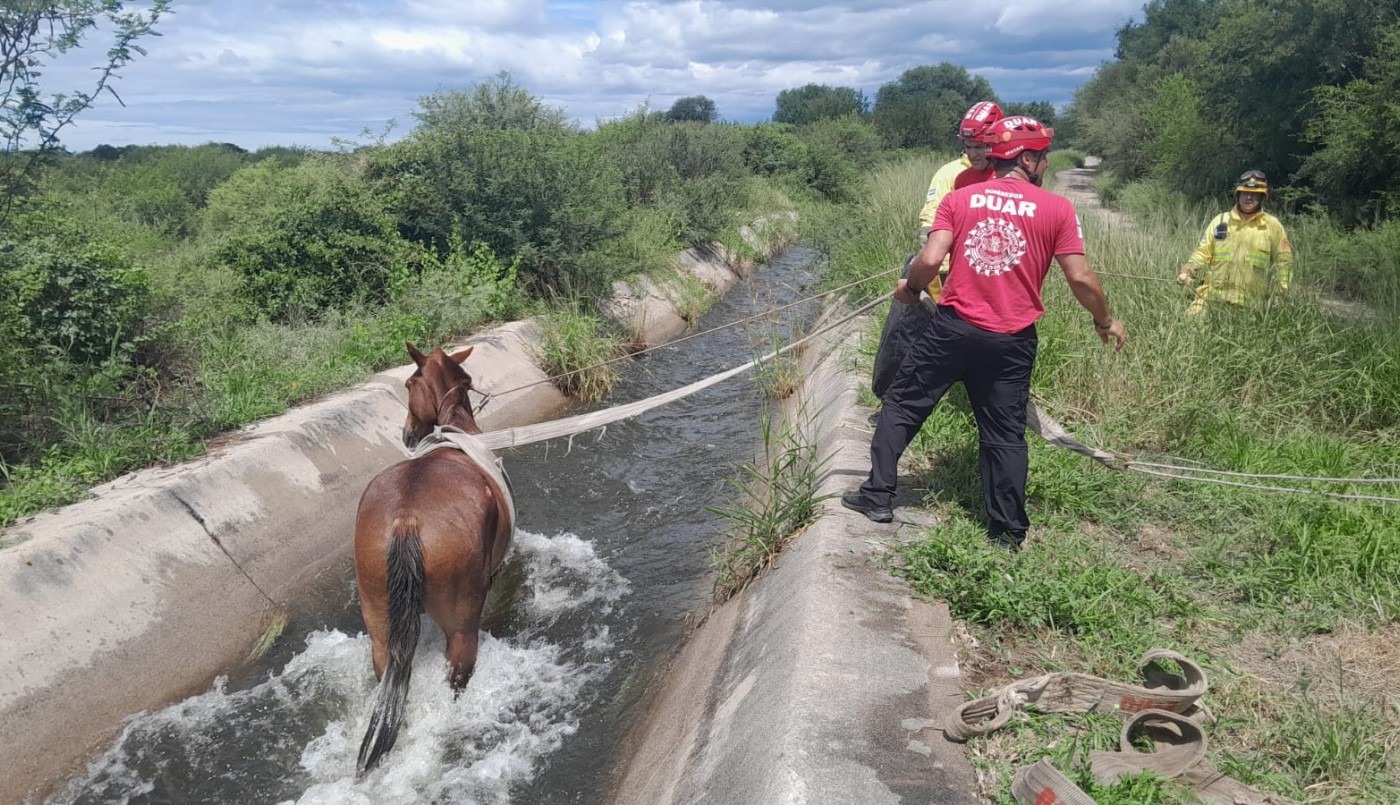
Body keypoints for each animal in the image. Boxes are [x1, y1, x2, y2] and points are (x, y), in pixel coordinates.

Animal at [353, 342, 514, 775]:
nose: (407, 434)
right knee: (457, 674)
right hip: (461, 631)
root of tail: (407, 519)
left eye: (408, 384)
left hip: (379, 624)